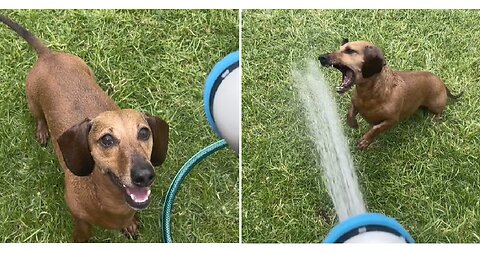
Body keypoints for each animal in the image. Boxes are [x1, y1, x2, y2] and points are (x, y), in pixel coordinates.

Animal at [0, 14, 170, 241]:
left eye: (144, 132)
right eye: (107, 139)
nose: (145, 175)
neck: (111, 202)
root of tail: (48, 55)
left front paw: (130, 225)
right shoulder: (79, 219)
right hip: (33, 102)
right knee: (39, 118)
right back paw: (42, 131)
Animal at [318, 39, 462, 150]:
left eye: (350, 51)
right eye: (340, 48)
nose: (321, 58)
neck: (370, 95)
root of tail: (441, 82)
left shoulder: (392, 120)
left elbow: (376, 128)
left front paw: (365, 141)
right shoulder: (355, 103)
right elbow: (350, 112)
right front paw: (353, 124)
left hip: (435, 105)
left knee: (439, 113)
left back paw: (435, 120)